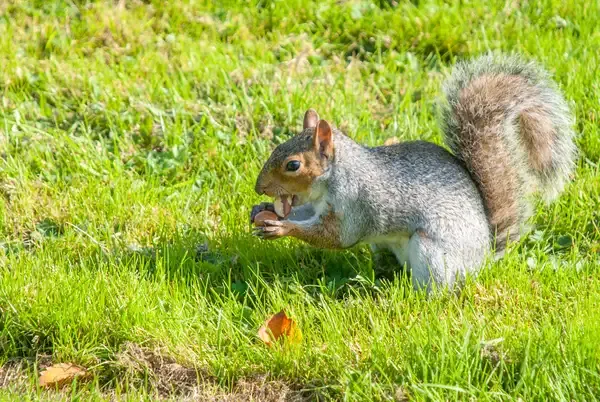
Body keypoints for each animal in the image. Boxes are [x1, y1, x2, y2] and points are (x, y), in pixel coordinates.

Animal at [250, 55, 576, 290]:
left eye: (293, 165)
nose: (259, 188)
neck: (334, 179)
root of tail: (483, 257)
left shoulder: (356, 204)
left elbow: (336, 236)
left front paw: (282, 227)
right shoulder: (318, 204)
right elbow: (304, 214)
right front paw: (263, 209)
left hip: (432, 253)